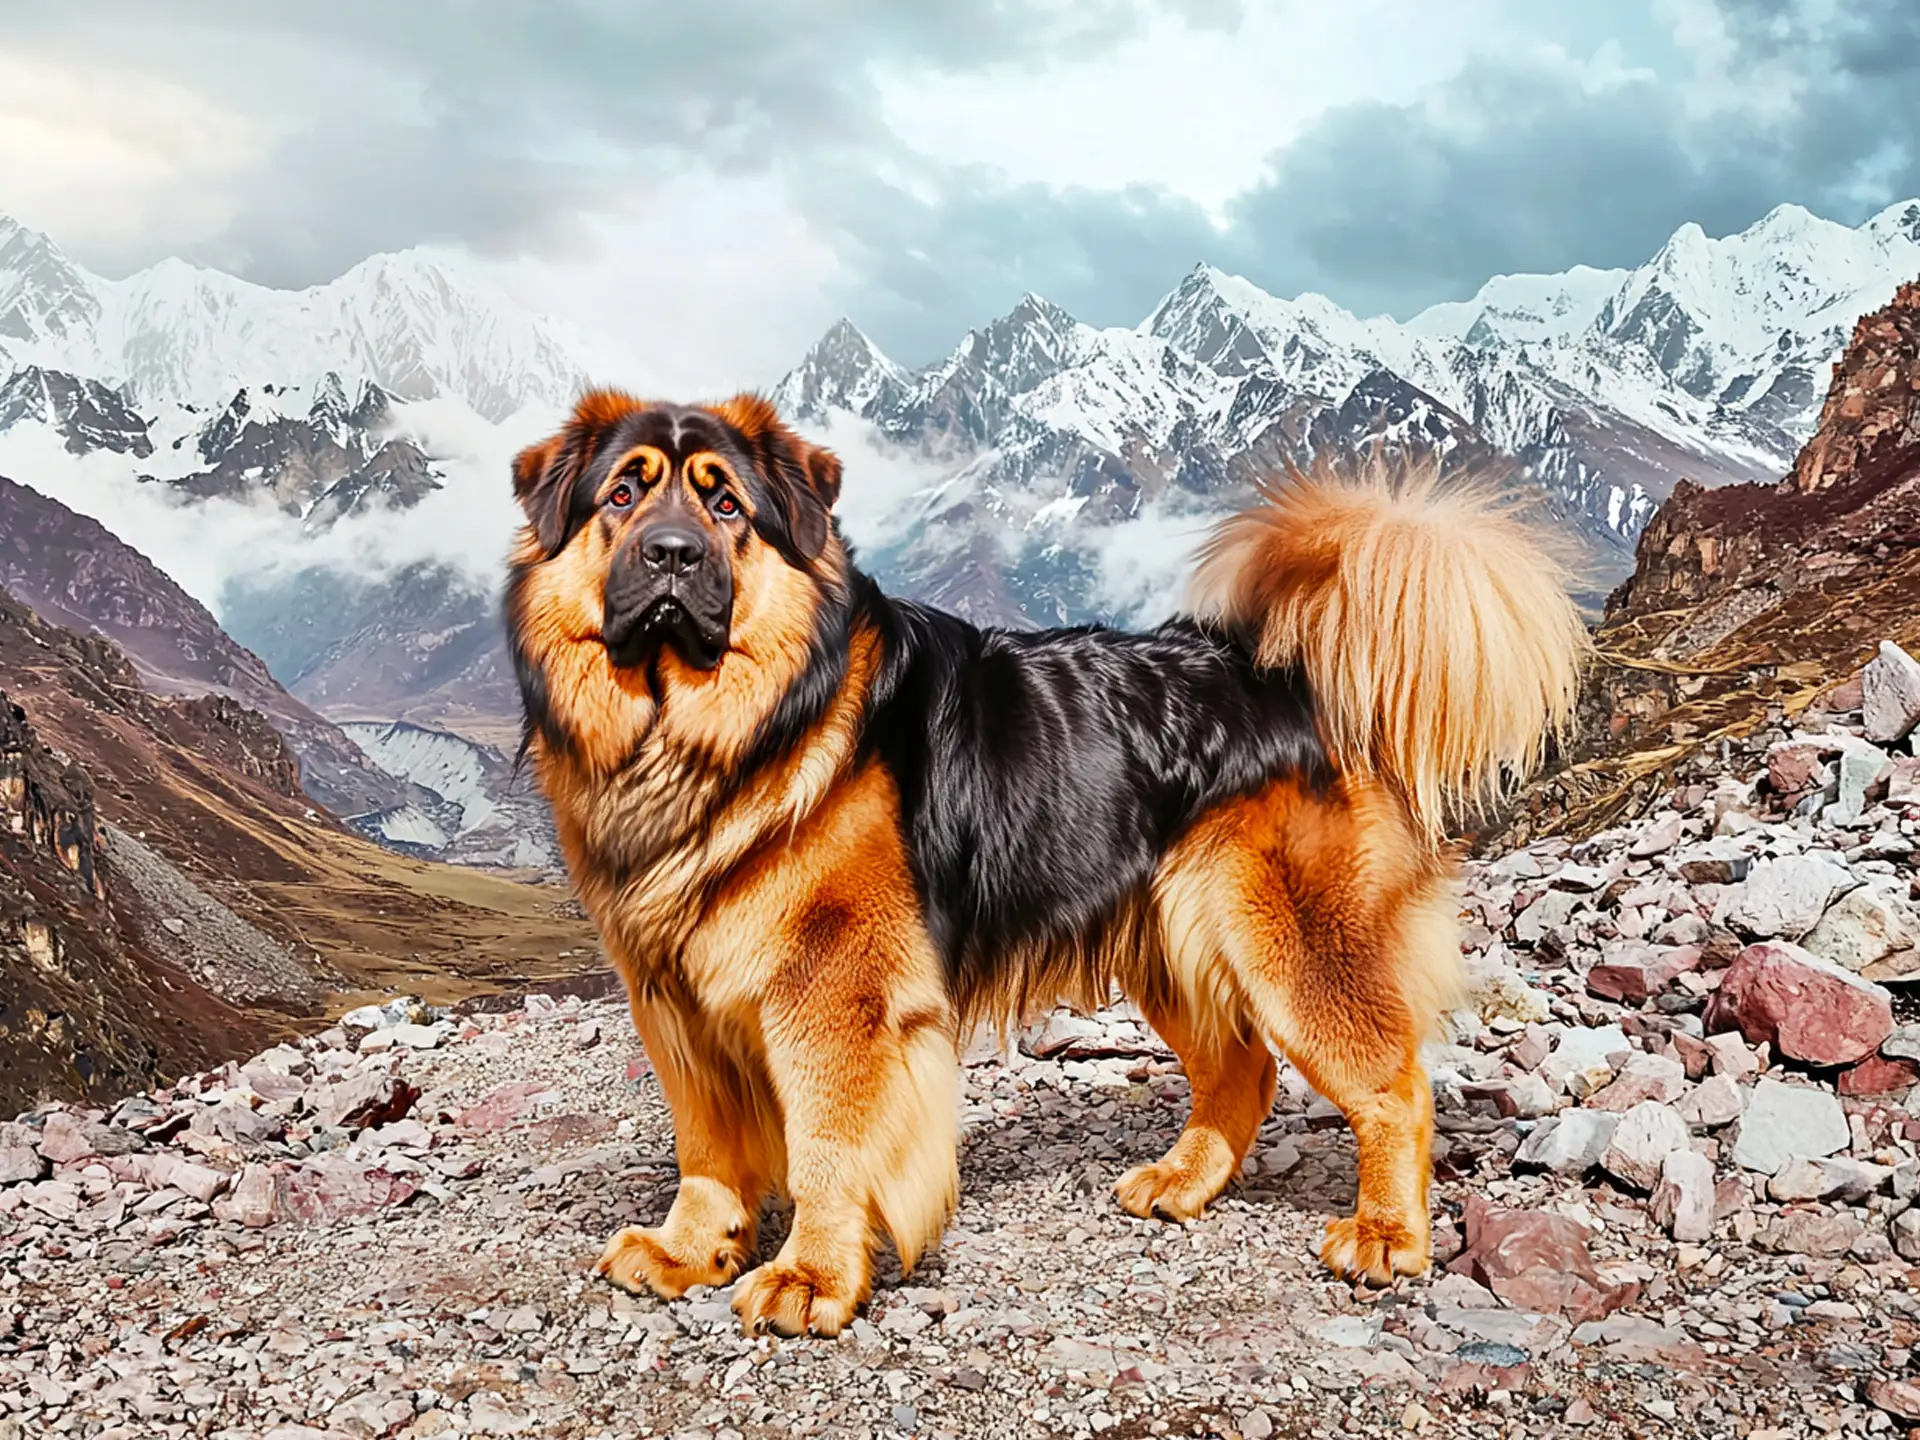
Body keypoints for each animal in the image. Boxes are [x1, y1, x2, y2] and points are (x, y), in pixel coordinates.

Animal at [499, 391, 1589, 1344]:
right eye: (622, 495)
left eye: (725, 503)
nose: (671, 556)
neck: (722, 732)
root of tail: (1283, 668)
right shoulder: (673, 997)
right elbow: (707, 1148)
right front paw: (689, 1250)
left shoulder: (833, 993)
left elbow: (827, 1145)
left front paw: (810, 1277)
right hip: (1170, 942)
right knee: (1242, 1070)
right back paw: (1182, 1183)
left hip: (1289, 940)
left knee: (1392, 1081)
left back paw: (1388, 1235)